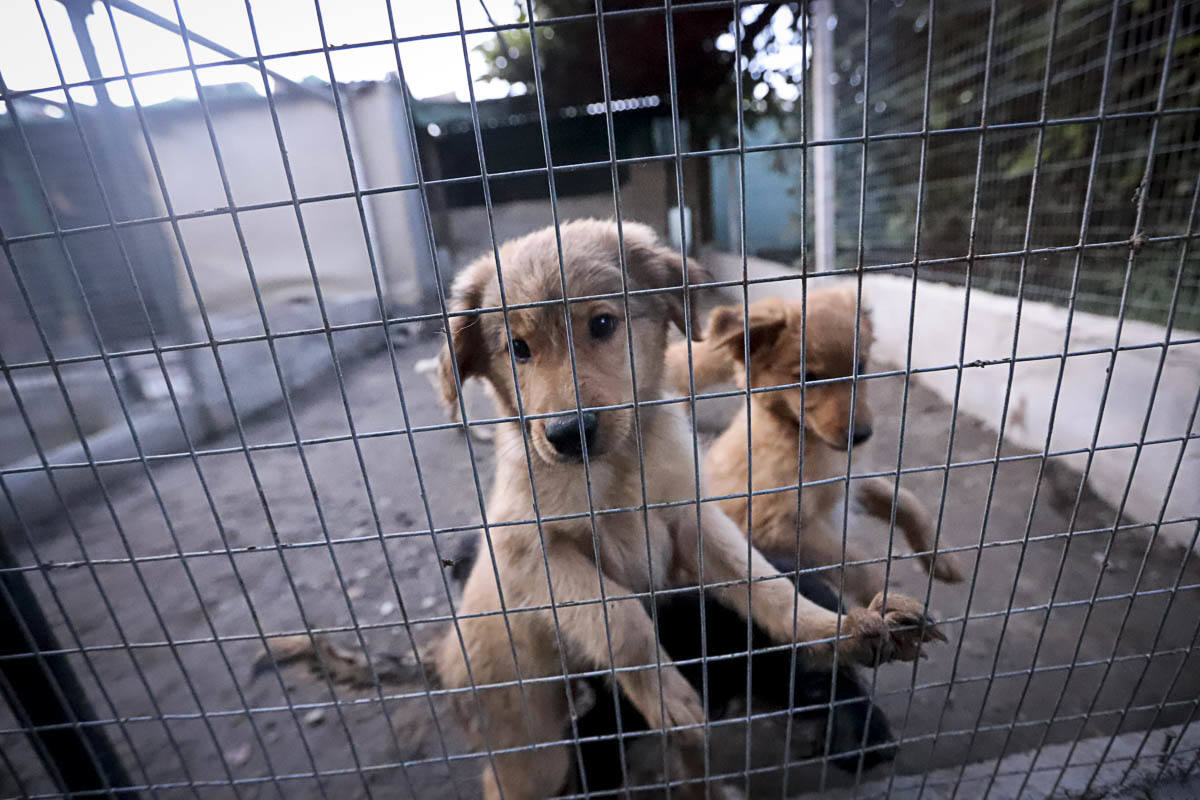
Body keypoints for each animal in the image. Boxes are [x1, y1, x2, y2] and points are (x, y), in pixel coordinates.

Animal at [667, 291, 964, 609]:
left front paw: (941, 557)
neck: (801, 439)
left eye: (861, 367)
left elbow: (905, 500)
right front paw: (885, 601)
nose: (862, 435)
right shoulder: (771, 527)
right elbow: (854, 560)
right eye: (809, 377)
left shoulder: (850, 482)